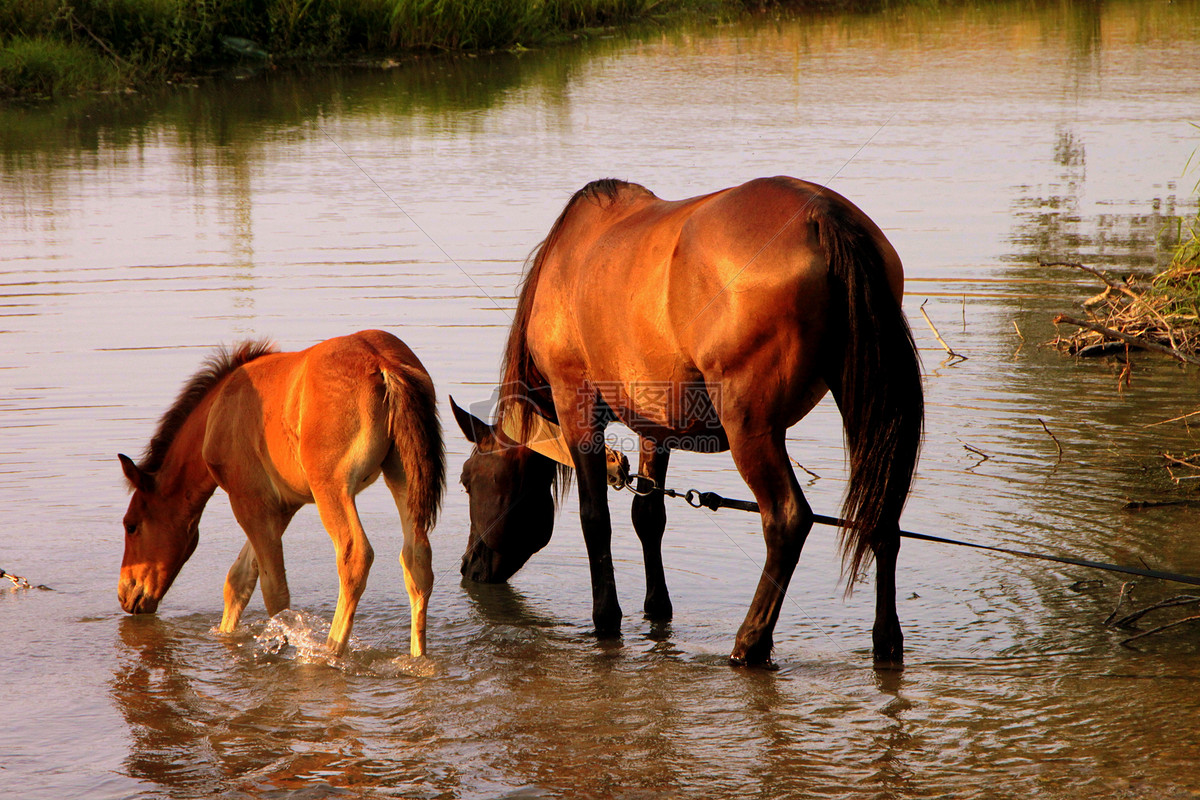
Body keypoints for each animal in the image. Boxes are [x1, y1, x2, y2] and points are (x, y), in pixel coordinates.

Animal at [115, 331, 446, 657]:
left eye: (131, 526)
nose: (125, 594)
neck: (217, 412)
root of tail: (383, 363)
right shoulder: (281, 507)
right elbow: (239, 580)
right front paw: (225, 634)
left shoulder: (248, 501)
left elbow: (273, 590)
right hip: (402, 478)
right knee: (417, 559)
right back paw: (418, 656)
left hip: (332, 489)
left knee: (355, 557)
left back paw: (330, 652)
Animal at [453, 178, 921, 666]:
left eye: (468, 481)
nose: (468, 567)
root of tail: (822, 214)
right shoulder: (653, 425)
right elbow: (648, 515)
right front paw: (657, 607)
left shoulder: (575, 406)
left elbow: (595, 518)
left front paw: (606, 619)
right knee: (883, 517)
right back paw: (886, 640)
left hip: (752, 429)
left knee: (787, 520)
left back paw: (750, 642)